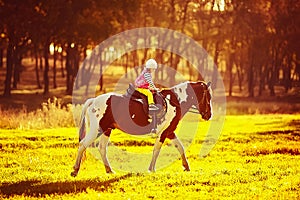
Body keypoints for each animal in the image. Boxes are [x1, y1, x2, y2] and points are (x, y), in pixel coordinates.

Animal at [70, 80, 212, 176]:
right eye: (208, 97)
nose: (209, 115)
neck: (174, 101)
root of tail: (93, 101)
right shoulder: (163, 133)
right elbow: (156, 150)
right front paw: (151, 169)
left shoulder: (169, 132)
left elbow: (180, 147)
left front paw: (186, 166)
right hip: (96, 130)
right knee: (83, 145)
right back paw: (75, 170)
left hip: (106, 130)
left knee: (102, 148)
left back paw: (109, 170)